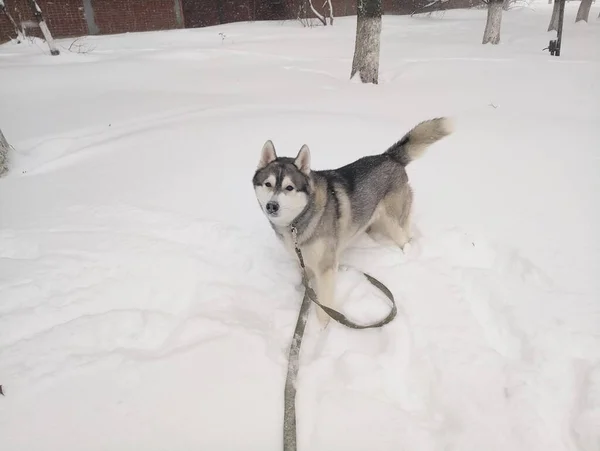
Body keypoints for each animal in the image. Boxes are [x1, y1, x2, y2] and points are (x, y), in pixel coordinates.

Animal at [251, 118, 452, 326]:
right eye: (268, 184)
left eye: (289, 187)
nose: (272, 206)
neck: (297, 223)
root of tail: (389, 157)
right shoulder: (304, 261)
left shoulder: (326, 268)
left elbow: (324, 305)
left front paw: (321, 327)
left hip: (394, 222)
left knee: (405, 238)